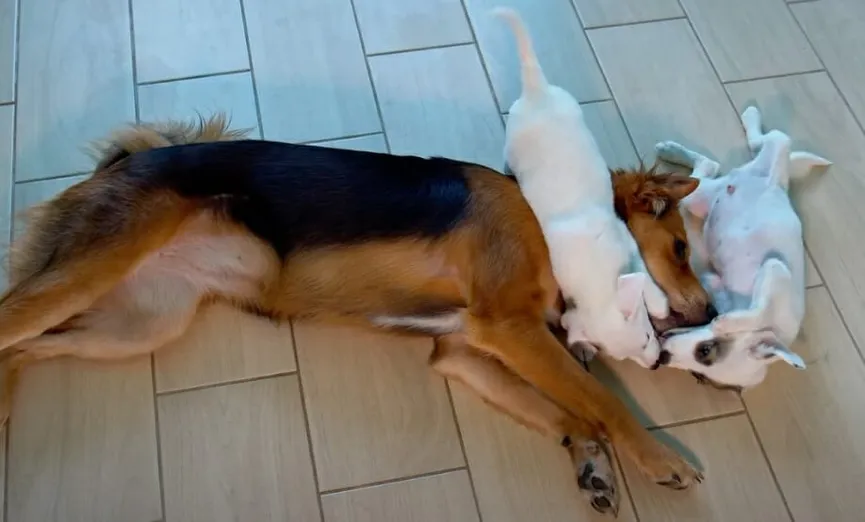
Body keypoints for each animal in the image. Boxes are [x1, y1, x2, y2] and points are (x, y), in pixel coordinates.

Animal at [0, 117, 708, 512]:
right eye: (680, 249)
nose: (710, 311)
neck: (555, 217)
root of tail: (122, 163)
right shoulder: (508, 327)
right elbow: (601, 400)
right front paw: (659, 459)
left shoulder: (463, 351)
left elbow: (564, 409)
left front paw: (589, 460)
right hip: (95, 269)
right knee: (10, 325)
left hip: (138, 325)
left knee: (24, 347)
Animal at [656, 105, 832, 388]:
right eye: (706, 349)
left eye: (699, 374)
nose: (661, 357)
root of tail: (777, 184)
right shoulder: (775, 268)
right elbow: (755, 311)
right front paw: (725, 323)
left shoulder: (714, 282)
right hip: (765, 161)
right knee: (775, 138)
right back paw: (748, 118)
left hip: (698, 200)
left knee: (709, 166)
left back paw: (672, 152)